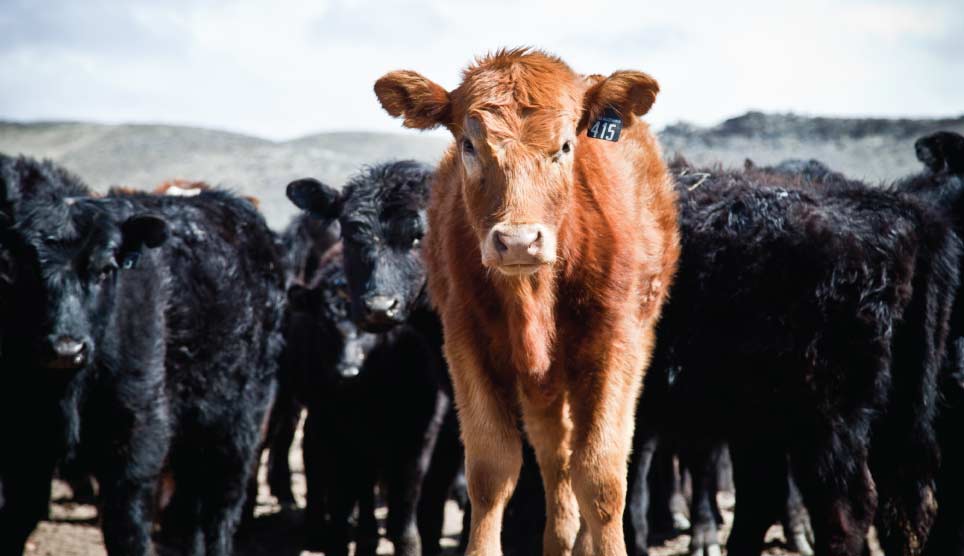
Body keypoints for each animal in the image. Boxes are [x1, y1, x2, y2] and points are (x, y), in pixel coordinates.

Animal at [0, 157, 286, 556]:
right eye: (21, 267)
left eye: (105, 269)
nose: (66, 348)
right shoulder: (23, 437)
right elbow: (19, 517)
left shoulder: (136, 438)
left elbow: (128, 527)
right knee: (192, 509)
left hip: (238, 425)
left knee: (220, 506)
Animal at [372, 48, 680, 556]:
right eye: (469, 145)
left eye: (566, 146)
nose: (517, 241)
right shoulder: (466, 344)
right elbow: (491, 470)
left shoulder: (618, 346)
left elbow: (601, 474)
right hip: (542, 384)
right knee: (556, 456)